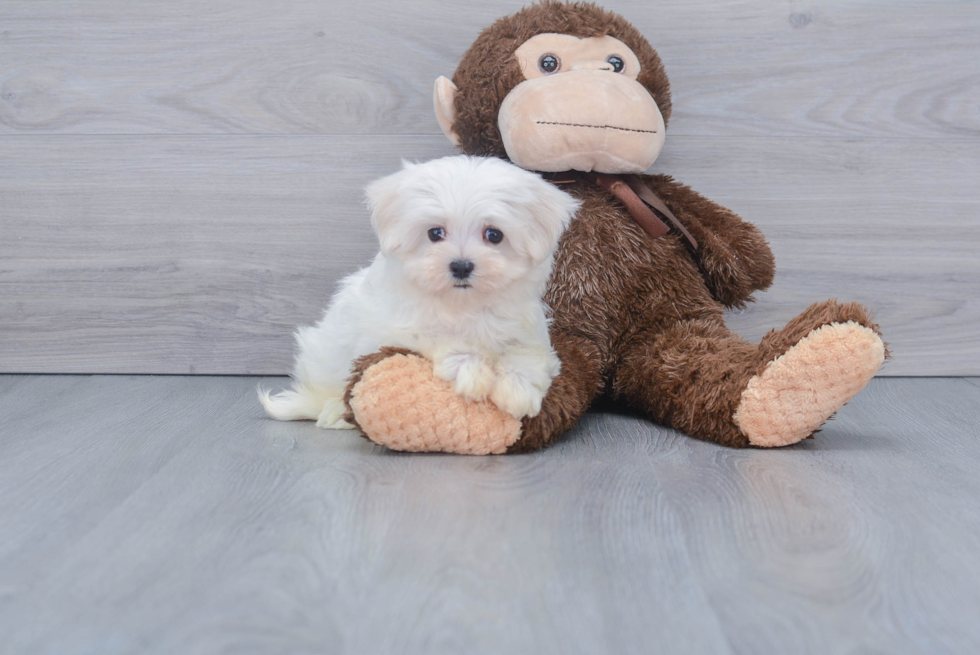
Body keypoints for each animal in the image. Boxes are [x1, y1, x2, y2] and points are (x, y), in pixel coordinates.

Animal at [260, 155, 580, 430]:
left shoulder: (529, 331)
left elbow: (526, 352)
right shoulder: (389, 330)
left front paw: (518, 388)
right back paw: (335, 412)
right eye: (435, 233)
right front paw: (471, 369)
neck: (463, 305)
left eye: (494, 235)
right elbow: (434, 334)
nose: (461, 265)